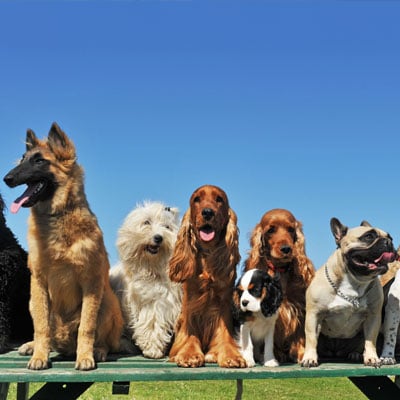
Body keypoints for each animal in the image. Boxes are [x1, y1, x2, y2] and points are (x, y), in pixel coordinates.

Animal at [3, 123, 122, 370]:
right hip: (32, 301)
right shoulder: (38, 283)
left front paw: (85, 356)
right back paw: (33, 346)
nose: (6, 178)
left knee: (103, 339)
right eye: (22, 159)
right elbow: (41, 327)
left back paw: (98, 350)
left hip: (107, 301)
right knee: (47, 332)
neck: (57, 216)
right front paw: (39, 355)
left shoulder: (91, 282)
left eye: (39, 161)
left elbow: (87, 326)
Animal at [109, 202, 181, 358]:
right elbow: (151, 323)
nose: (158, 237)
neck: (151, 268)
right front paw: (152, 349)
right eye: (146, 222)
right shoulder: (150, 303)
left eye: (167, 227)